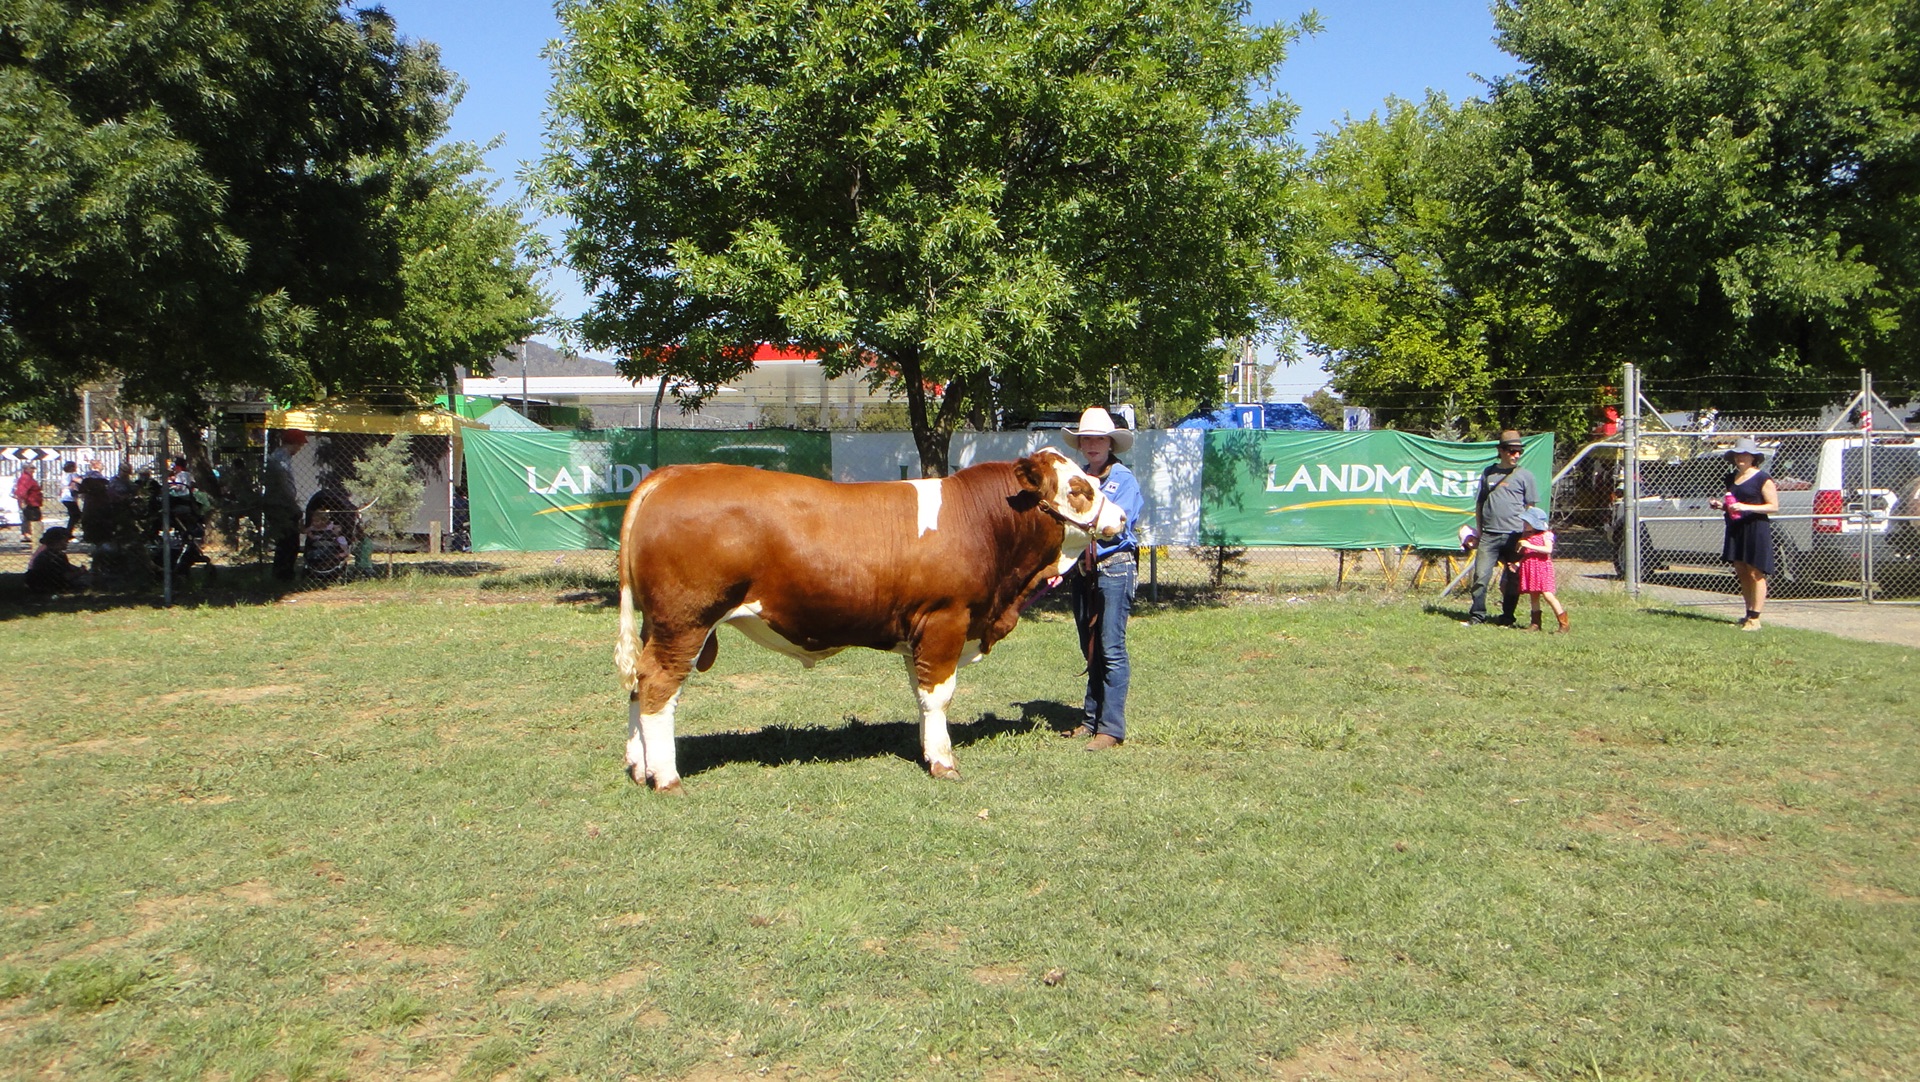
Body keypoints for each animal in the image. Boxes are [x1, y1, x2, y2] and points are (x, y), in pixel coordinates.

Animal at [610, 443, 1121, 790]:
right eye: (1079, 488)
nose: (1120, 517)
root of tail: (672, 473)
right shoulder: (946, 620)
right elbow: (940, 695)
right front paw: (944, 763)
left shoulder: (920, 631)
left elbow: (922, 695)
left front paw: (926, 751)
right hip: (685, 621)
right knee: (658, 687)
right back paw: (666, 777)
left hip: (658, 623)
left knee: (637, 683)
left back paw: (638, 767)